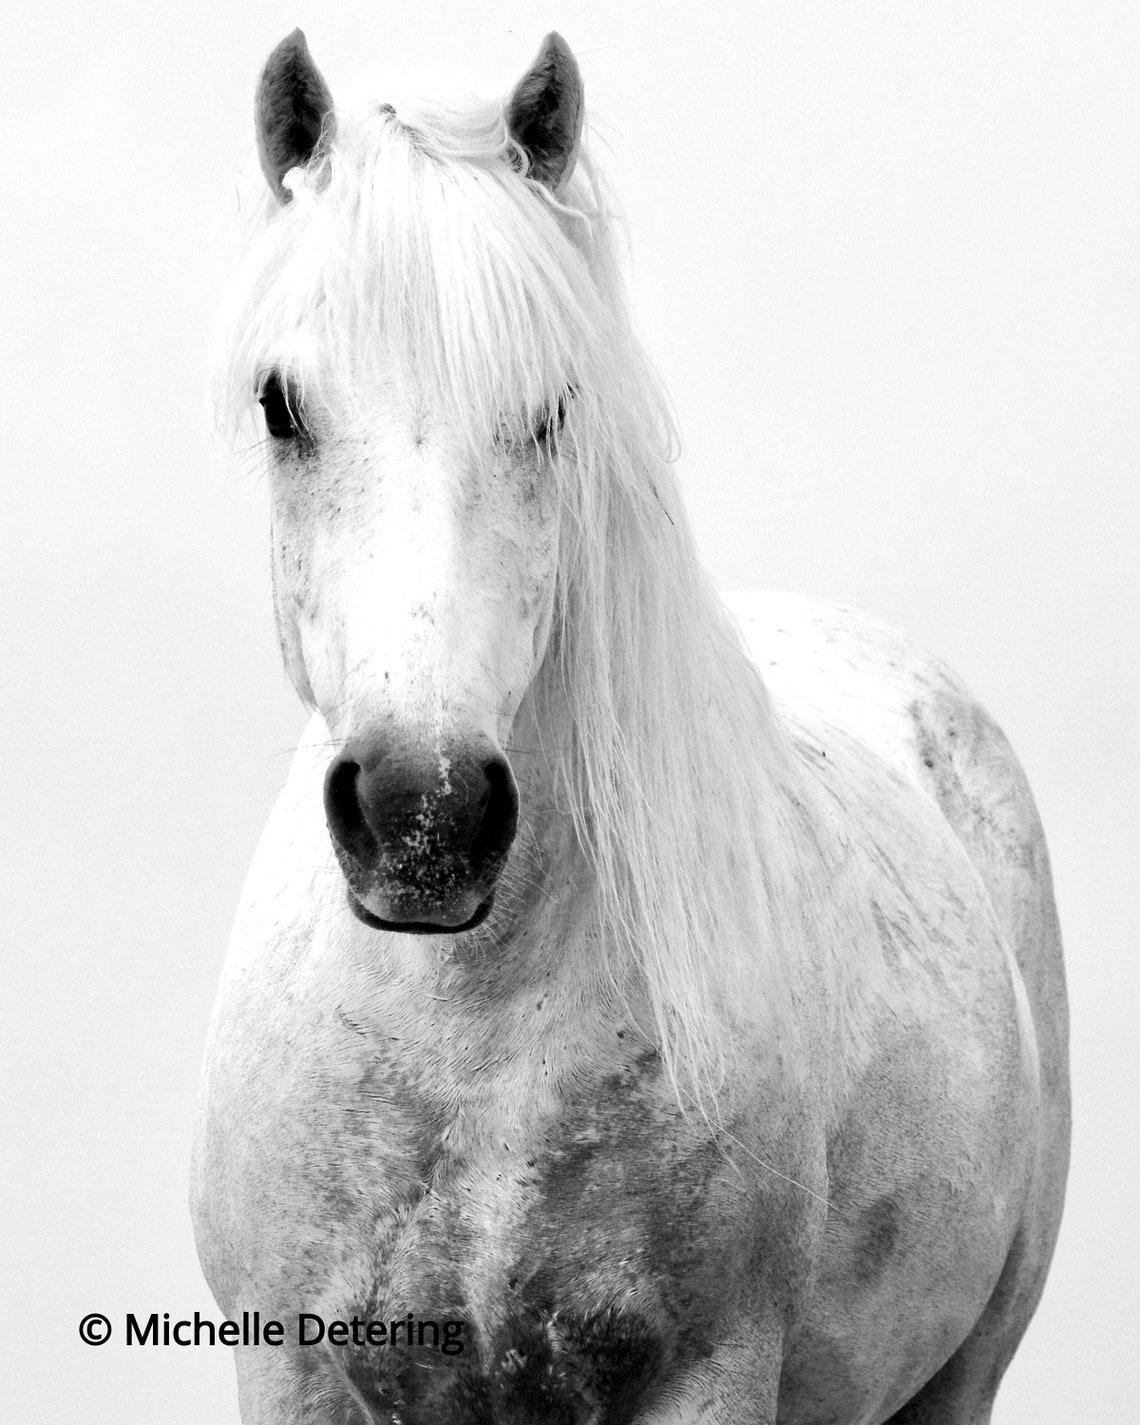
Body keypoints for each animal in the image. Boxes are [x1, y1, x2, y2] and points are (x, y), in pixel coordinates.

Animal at [191, 30, 1069, 1425]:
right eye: (281, 405)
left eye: (555, 407)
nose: (423, 816)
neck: (472, 1026)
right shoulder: (291, 1368)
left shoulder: (709, 1374)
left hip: (967, 1371)